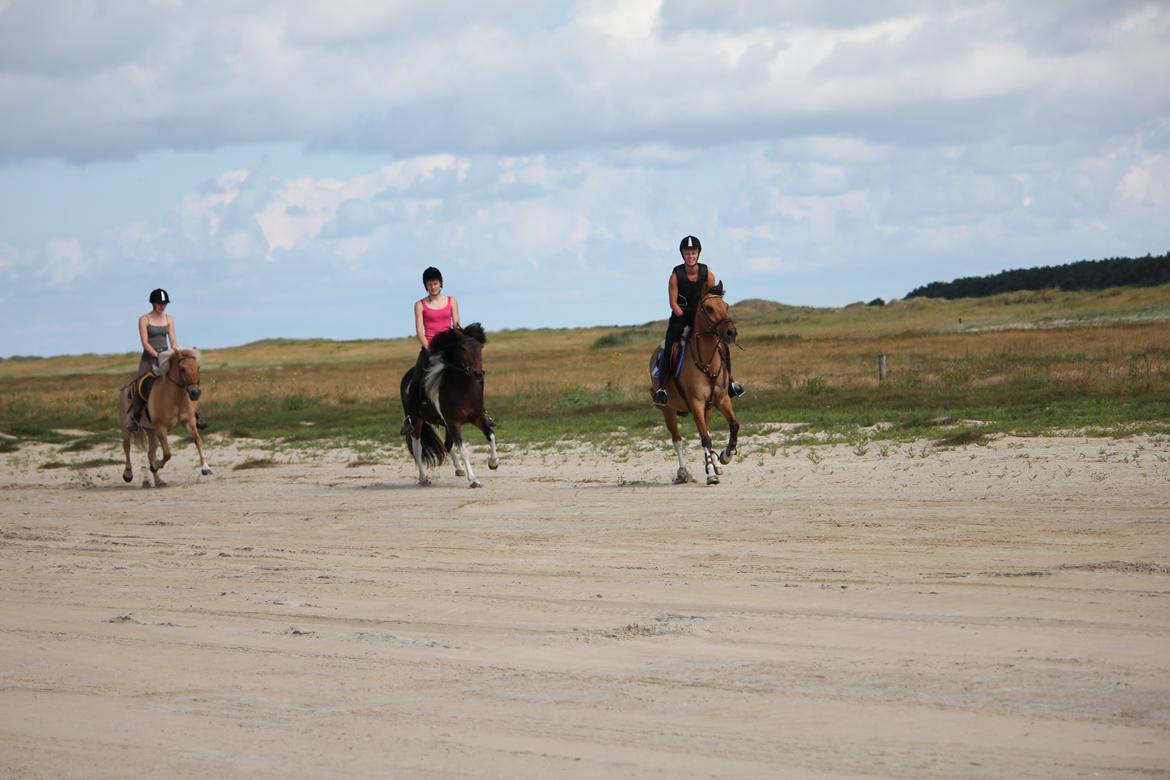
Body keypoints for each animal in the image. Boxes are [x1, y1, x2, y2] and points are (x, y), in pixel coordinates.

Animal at [118, 348, 212, 488]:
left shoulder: (189, 422)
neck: (176, 398)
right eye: (182, 368)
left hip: (151, 431)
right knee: (127, 446)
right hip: (127, 427)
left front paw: (206, 468)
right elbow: (167, 453)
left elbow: (197, 441)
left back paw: (159, 480)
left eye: (198, 367)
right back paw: (128, 474)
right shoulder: (161, 427)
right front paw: (156, 465)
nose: (195, 393)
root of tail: (125, 388)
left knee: (150, 453)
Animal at [397, 322, 498, 488]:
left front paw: (493, 463)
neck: (462, 389)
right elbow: (463, 450)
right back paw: (423, 478)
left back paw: (459, 469)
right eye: (463, 348)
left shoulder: (477, 417)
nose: (477, 374)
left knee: (447, 444)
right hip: (417, 421)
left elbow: (490, 436)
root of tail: (407, 375)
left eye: (480, 347)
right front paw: (473, 479)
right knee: (417, 448)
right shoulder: (453, 422)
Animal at [650, 284, 739, 484]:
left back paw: (716, 463)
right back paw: (683, 472)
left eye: (726, 306)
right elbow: (705, 438)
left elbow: (733, 425)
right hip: (668, 410)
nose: (731, 332)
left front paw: (725, 456)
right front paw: (711, 474)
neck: (706, 362)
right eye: (709, 308)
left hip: (708, 407)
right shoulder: (696, 402)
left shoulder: (721, 400)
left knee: (707, 429)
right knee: (677, 439)